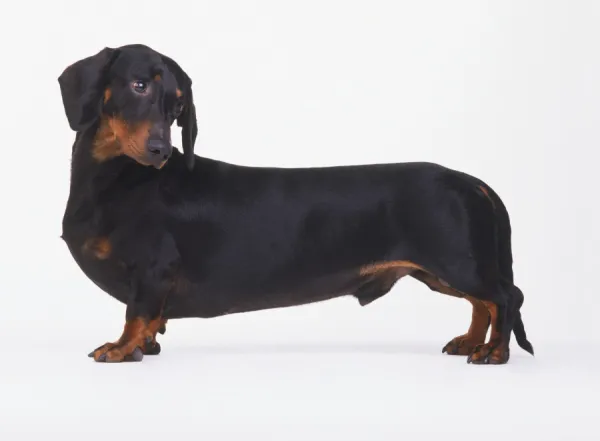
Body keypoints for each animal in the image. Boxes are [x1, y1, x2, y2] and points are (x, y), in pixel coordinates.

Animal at [57, 43, 536, 362]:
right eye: (138, 86)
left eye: (177, 107)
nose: (160, 150)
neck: (122, 177)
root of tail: (473, 182)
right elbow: (151, 319)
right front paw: (147, 345)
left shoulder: (152, 269)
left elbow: (136, 314)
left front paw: (121, 348)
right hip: (447, 270)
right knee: (483, 303)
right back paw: (472, 341)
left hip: (457, 263)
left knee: (504, 297)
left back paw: (494, 351)